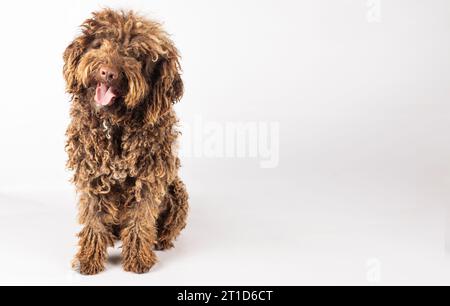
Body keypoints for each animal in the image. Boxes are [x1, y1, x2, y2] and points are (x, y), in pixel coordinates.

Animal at [62, 8, 188, 274]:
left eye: (137, 55)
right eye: (102, 43)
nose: (107, 73)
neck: (117, 124)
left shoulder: (149, 180)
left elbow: (141, 218)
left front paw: (138, 258)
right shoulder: (92, 175)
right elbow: (94, 219)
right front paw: (89, 258)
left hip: (177, 192)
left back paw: (159, 242)